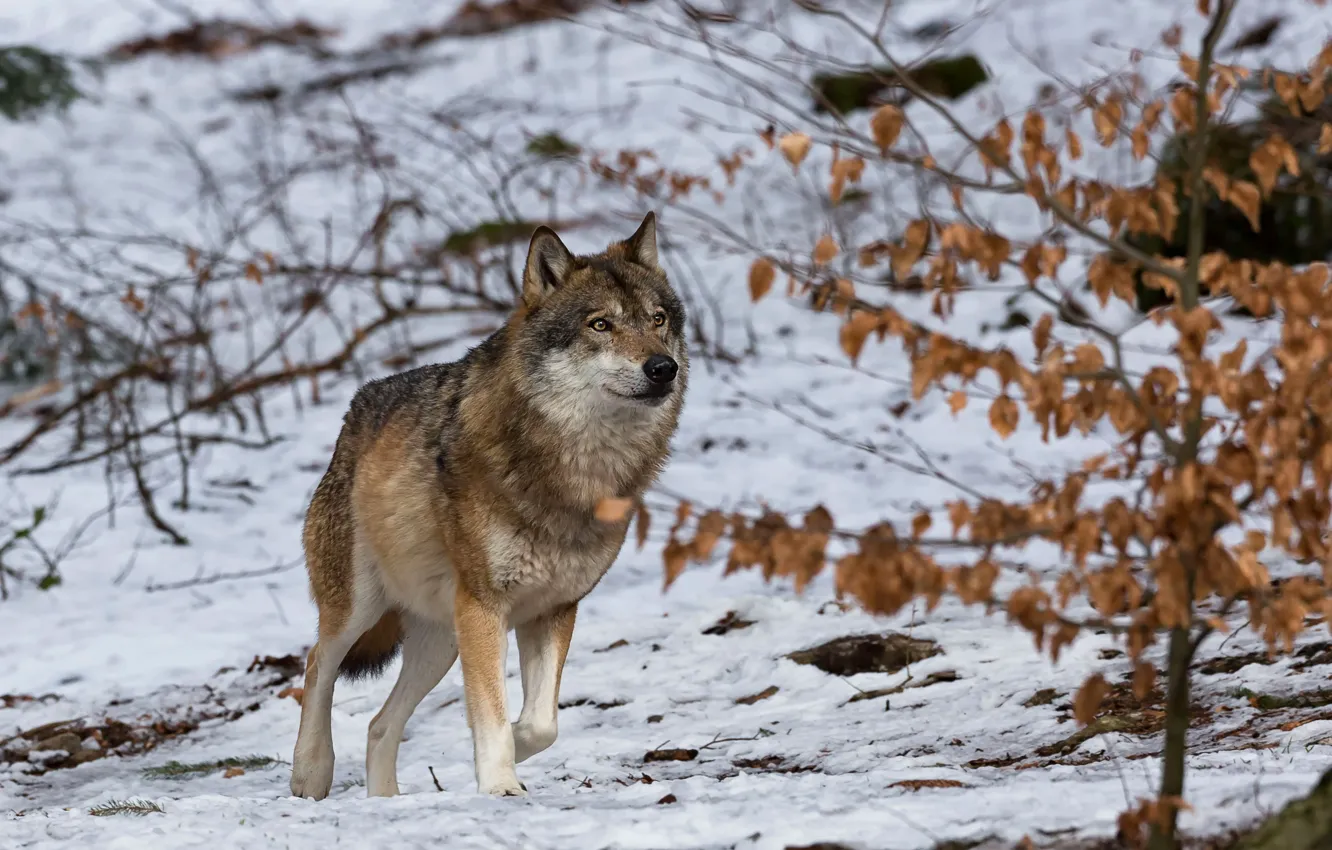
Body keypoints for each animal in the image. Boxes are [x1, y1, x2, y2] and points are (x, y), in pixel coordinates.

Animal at [289, 213, 687, 799]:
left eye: (658, 319)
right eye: (600, 325)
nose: (664, 367)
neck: (576, 469)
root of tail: (354, 411)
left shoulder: (553, 608)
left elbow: (542, 722)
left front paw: (512, 751)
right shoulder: (485, 606)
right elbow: (492, 711)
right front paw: (501, 784)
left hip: (441, 640)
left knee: (379, 723)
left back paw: (386, 800)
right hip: (361, 607)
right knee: (318, 662)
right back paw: (310, 770)